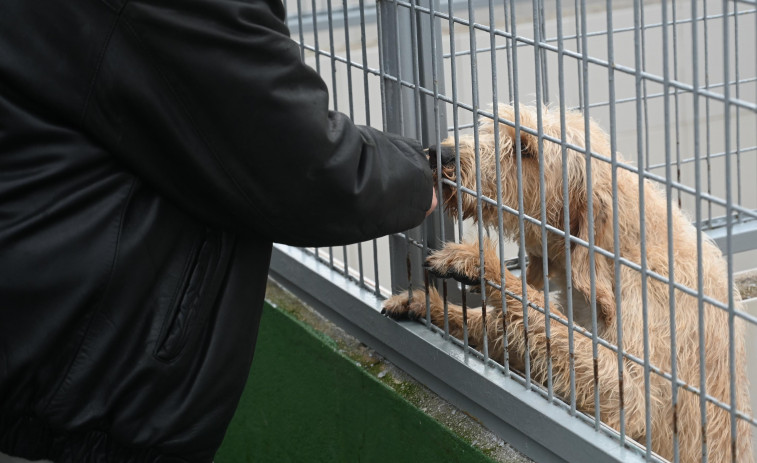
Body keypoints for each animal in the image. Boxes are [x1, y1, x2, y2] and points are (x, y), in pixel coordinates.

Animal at [384, 105, 752, 463]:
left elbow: (626, 393)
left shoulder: (640, 360)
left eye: (525, 148)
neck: (617, 252)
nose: (439, 153)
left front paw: (480, 264)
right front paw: (428, 304)